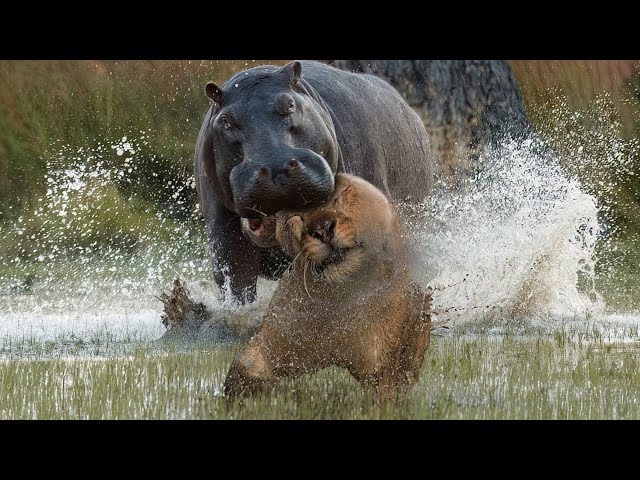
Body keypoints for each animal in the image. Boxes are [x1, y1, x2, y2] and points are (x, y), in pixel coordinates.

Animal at [222, 174, 432, 400]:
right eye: (295, 217)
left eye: (339, 196)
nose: (322, 229)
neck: (340, 299)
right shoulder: (276, 342)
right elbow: (244, 369)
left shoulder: (382, 367)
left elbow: (390, 389)